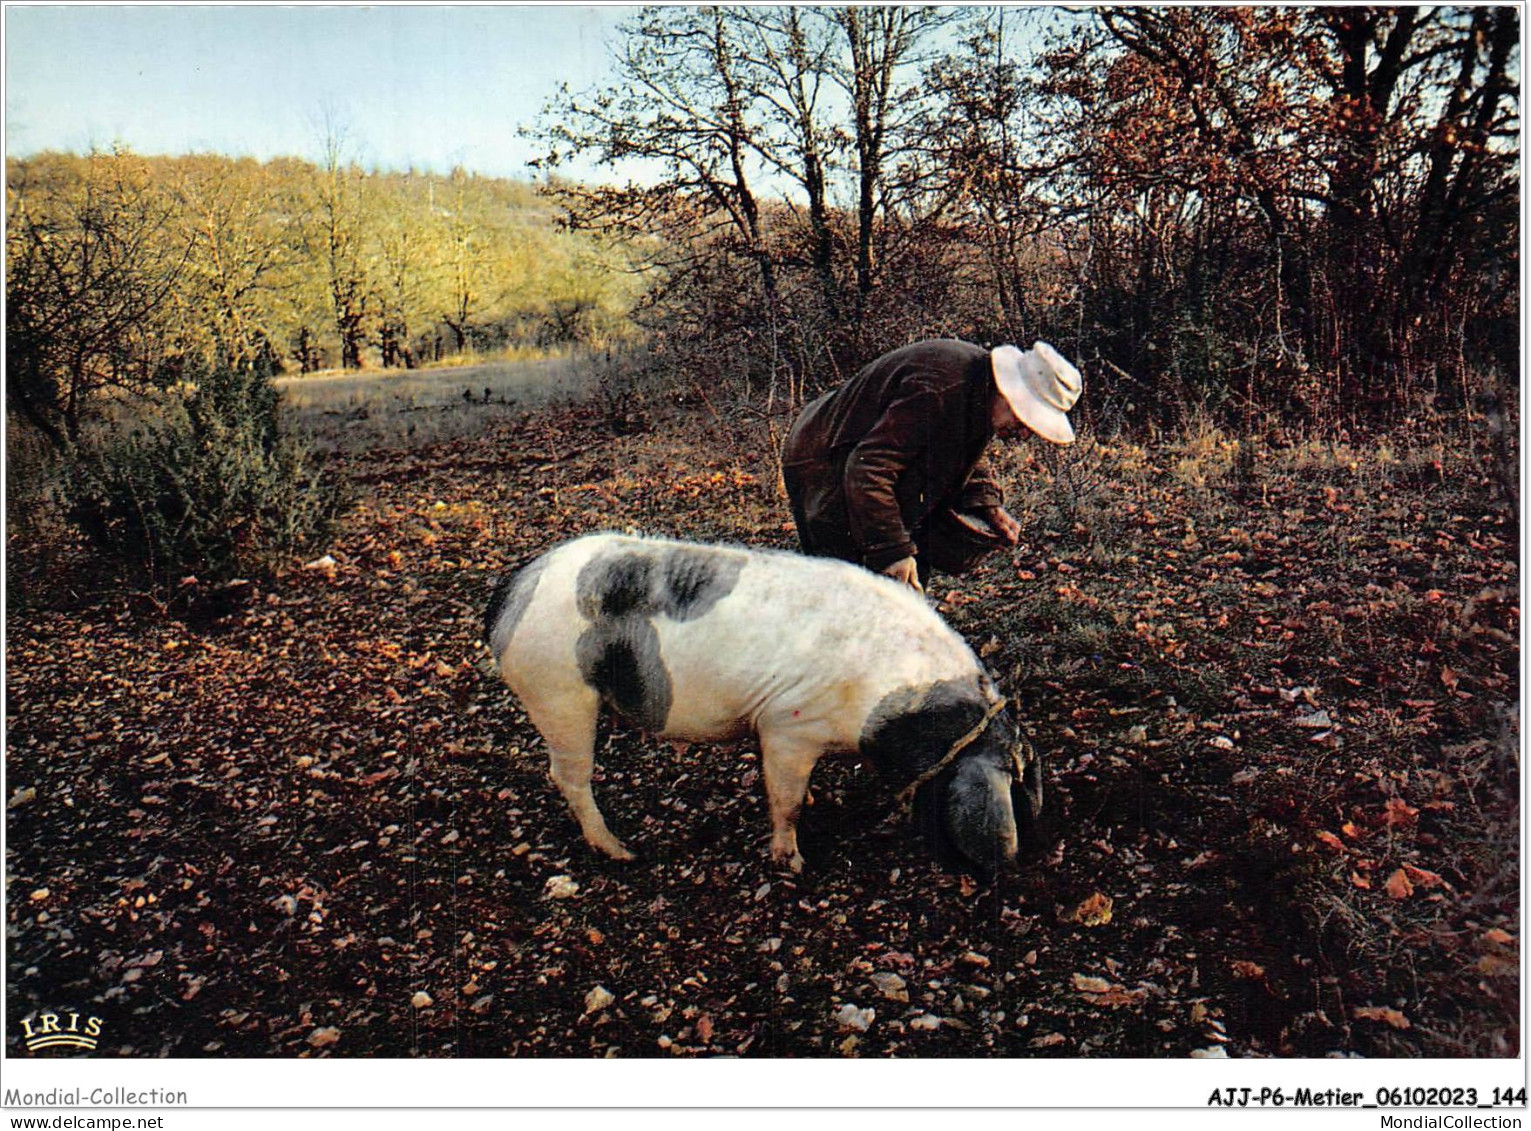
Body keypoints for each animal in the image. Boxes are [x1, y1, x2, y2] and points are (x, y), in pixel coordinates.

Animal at [483, 532, 1047, 875]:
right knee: (568, 776)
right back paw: (622, 852)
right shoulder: (787, 726)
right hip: (559, 693)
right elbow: (785, 799)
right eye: (1010, 777)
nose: (1019, 860)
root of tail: (512, 594)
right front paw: (792, 862)